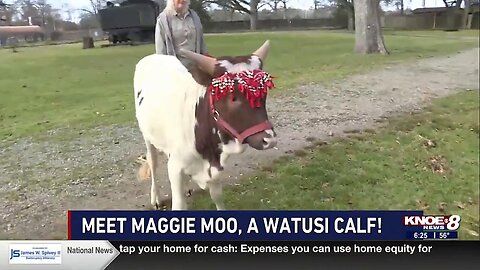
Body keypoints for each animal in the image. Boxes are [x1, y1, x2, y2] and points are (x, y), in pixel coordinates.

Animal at [134, 40, 278, 210]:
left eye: (264, 93)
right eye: (232, 96)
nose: (269, 140)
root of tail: (154, 57)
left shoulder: (214, 168)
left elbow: (217, 197)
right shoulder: (175, 168)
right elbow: (178, 204)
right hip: (147, 137)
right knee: (153, 162)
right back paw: (155, 197)